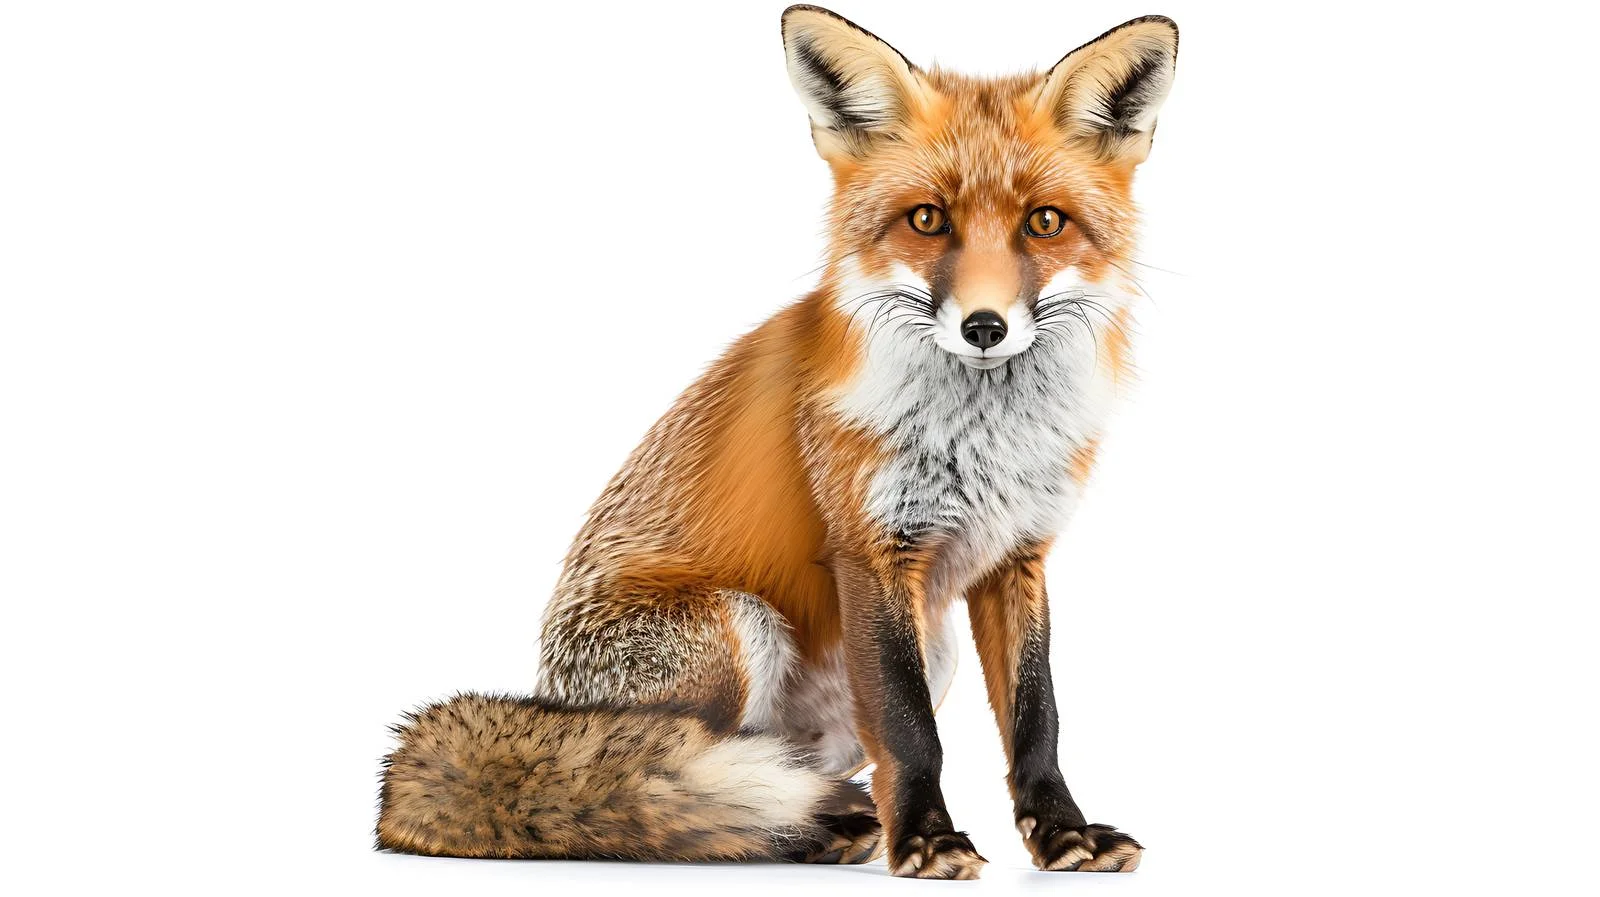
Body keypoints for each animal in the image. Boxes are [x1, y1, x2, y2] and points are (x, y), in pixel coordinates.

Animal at [377, 5, 1178, 880]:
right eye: (927, 219)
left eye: (1045, 222)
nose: (984, 327)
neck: (983, 437)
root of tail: (549, 696)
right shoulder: (872, 547)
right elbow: (910, 730)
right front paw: (927, 838)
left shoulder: (1018, 556)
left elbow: (1038, 718)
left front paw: (1063, 831)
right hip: (736, 627)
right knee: (663, 785)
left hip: (924, 652)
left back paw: (828, 827)